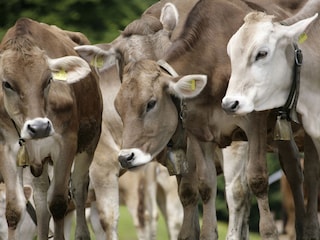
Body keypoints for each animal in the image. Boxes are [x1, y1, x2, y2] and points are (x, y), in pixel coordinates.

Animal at [0, 17, 102, 239]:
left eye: (48, 80)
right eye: (7, 84)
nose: (39, 127)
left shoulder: (66, 144)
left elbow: (57, 203)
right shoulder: (7, 148)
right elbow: (14, 209)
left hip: (89, 144)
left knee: (78, 189)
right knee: (40, 199)